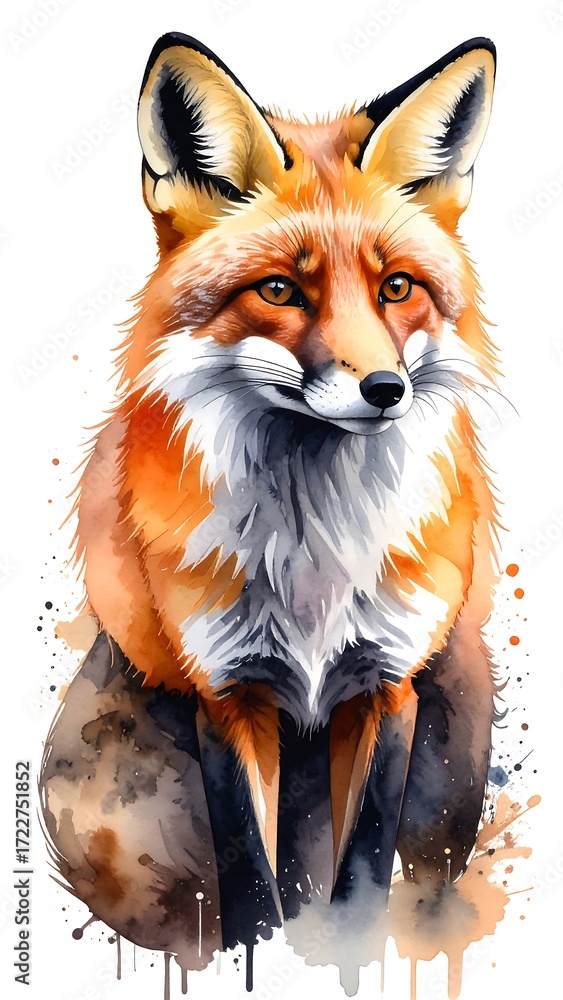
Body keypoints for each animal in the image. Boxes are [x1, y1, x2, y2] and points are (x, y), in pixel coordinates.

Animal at [41, 33, 499, 985]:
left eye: (396, 288)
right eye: (281, 292)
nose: (385, 390)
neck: (317, 553)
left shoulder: (385, 687)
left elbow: (358, 888)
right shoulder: (228, 694)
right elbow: (253, 888)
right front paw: (262, 956)